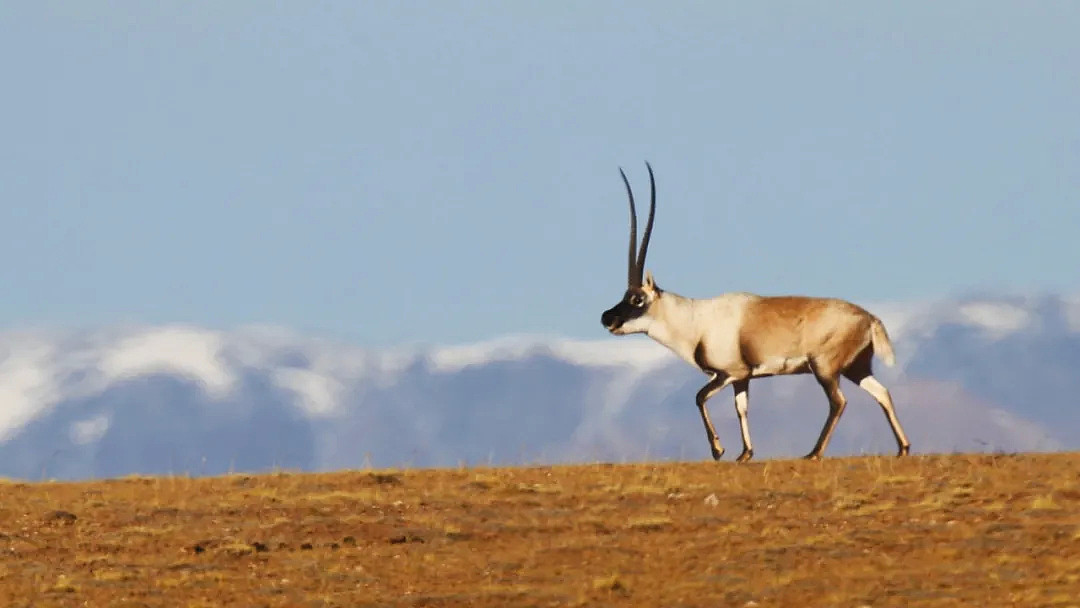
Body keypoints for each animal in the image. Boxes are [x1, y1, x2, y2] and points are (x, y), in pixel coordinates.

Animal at [600, 161, 911, 462]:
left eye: (637, 298)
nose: (607, 318)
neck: (695, 320)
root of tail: (870, 318)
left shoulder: (730, 373)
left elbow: (699, 397)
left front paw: (719, 450)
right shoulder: (742, 378)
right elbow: (741, 408)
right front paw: (745, 453)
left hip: (824, 368)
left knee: (839, 402)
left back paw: (814, 452)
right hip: (856, 368)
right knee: (882, 393)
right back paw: (903, 448)